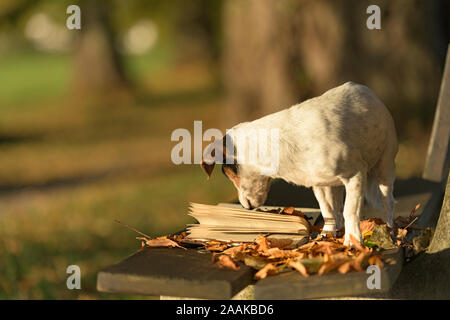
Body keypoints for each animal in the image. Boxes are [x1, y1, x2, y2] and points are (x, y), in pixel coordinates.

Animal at [200, 82, 398, 245]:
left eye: (227, 174)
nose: (244, 207)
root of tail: (370, 93)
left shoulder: (355, 175)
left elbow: (350, 211)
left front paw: (353, 241)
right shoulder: (319, 185)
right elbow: (327, 211)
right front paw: (326, 235)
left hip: (385, 166)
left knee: (388, 202)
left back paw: (389, 229)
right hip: (334, 184)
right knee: (337, 208)